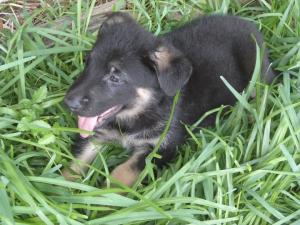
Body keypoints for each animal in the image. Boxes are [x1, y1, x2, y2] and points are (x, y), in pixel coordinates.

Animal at [63, 12, 274, 186]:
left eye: (115, 77)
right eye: (88, 62)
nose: (69, 103)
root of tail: (249, 24)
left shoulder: (161, 146)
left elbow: (123, 172)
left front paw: (105, 199)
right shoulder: (96, 134)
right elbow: (76, 162)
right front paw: (62, 189)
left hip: (258, 75)